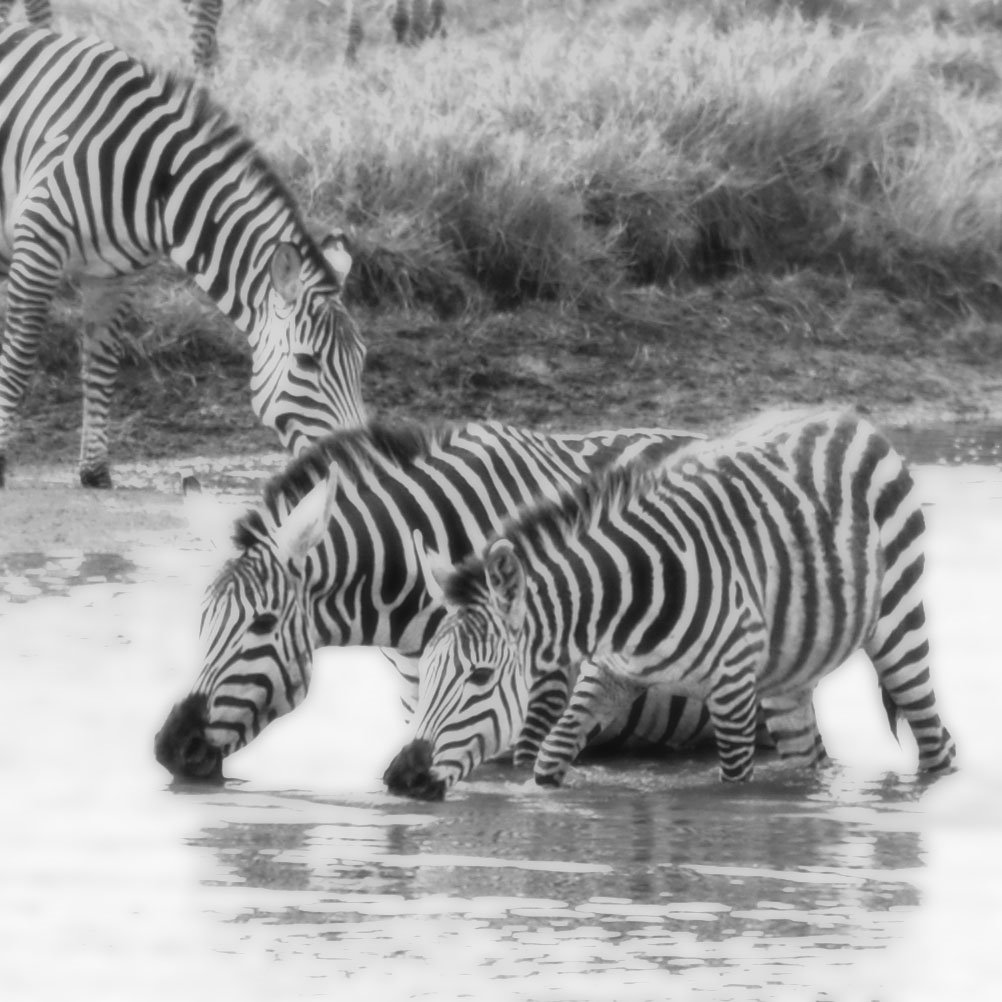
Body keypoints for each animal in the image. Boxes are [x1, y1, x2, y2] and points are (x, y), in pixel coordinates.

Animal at [0, 27, 368, 484]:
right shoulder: (38, 247)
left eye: (362, 359)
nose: (356, 464)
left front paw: (95, 471)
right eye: (307, 361)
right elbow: (19, 361)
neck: (155, 179)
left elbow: (102, 365)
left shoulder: (114, 275)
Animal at [382, 406, 953, 797]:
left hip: (899, 626)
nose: (401, 777)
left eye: (480, 677)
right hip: (787, 675)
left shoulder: (730, 689)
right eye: (425, 670)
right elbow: (551, 758)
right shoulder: (608, 676)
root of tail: (850, 417)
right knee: (806, 758)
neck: (624, 604)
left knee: (936, 740)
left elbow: (734, 786)